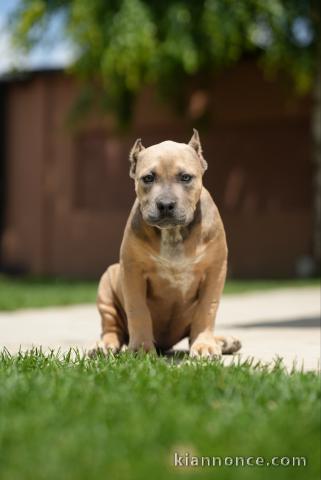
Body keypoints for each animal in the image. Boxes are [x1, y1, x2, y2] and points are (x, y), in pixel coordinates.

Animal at [95, 129, 240, 358]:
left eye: (186, 177)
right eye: (148, 178)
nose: (165, 204)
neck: (172, 233)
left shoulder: (215, 271)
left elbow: (207, 309)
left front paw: (205, 345)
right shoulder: (132, 271)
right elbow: (137, 310)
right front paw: (141, 349)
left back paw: (223, 341)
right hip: (107, 283)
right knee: (111, 327)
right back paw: (105, 345)